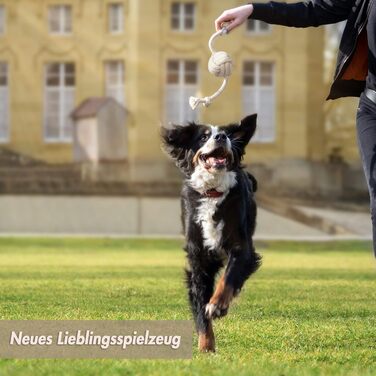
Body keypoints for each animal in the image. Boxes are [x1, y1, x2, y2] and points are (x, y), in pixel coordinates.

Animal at [162, 114, 262, 352]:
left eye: (226, 134)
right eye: (204, 136)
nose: (221, 137)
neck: (213, 192)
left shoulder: (241, 247)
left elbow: (228, 278)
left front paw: (217, 305)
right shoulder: (198, 256)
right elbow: (200, 304)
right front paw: (206, 345)